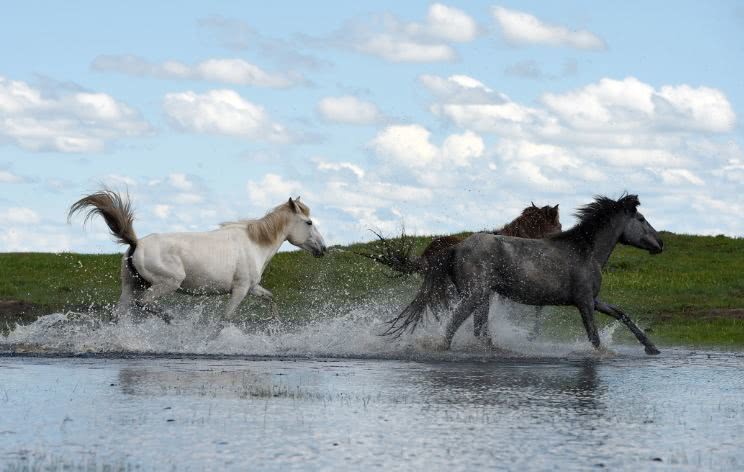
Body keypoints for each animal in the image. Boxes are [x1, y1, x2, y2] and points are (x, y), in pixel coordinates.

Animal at [68, 189, 327, 321]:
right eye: (309, 222)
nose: (323, 248)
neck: (253, 244)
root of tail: (136, 244)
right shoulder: (240, 289)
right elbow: (226, 318)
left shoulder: (253, 288)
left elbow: (271, 299)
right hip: (167, 283)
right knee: (144, 304)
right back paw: (169, 317)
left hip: (131, 286)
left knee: (123, 313)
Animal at [385, 194, 664, 355]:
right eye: (641, 219)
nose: (660, 244)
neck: (586, 251)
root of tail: (456, 247)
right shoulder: (584, 302)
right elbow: (594, 337)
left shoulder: (594, 300)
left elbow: (622, 314)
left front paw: (651, 347)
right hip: (474, 295)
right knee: (453, 326)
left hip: (482, 297)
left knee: (480, 331)